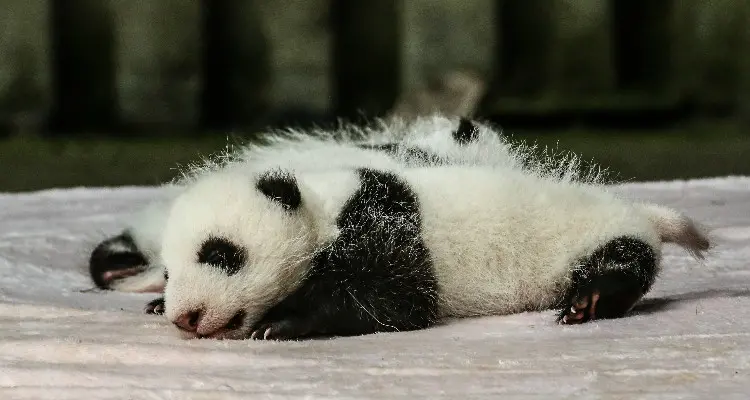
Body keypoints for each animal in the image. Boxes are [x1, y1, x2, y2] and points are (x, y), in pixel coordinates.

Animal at [156, 124, 710, 340]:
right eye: (166, 271)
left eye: (220, 254)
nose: (187, 317)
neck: (320, 203)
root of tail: (637, 211)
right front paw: (156, 306)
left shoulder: (381, 225)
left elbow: (394, 299)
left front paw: (282, 322)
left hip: (593, 235)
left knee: (622, 260)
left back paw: (589, 300)